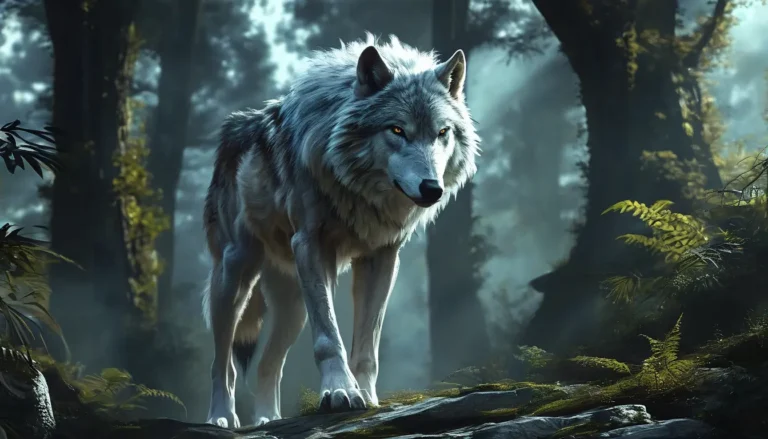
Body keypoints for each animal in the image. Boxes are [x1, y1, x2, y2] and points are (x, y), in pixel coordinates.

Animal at [201, 33, 479, 428]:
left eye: (442, 133)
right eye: (397, 130)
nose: (432, 189)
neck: (358, 189)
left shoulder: (382, 257)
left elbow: (367, 345)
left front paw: (366, 397)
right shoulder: (311, 245)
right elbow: (328, 339)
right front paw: (340, 394)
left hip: (293, 308)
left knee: (268, 365)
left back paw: (268, 420)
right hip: (234, 277)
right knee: (222, 363)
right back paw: (221, 417)